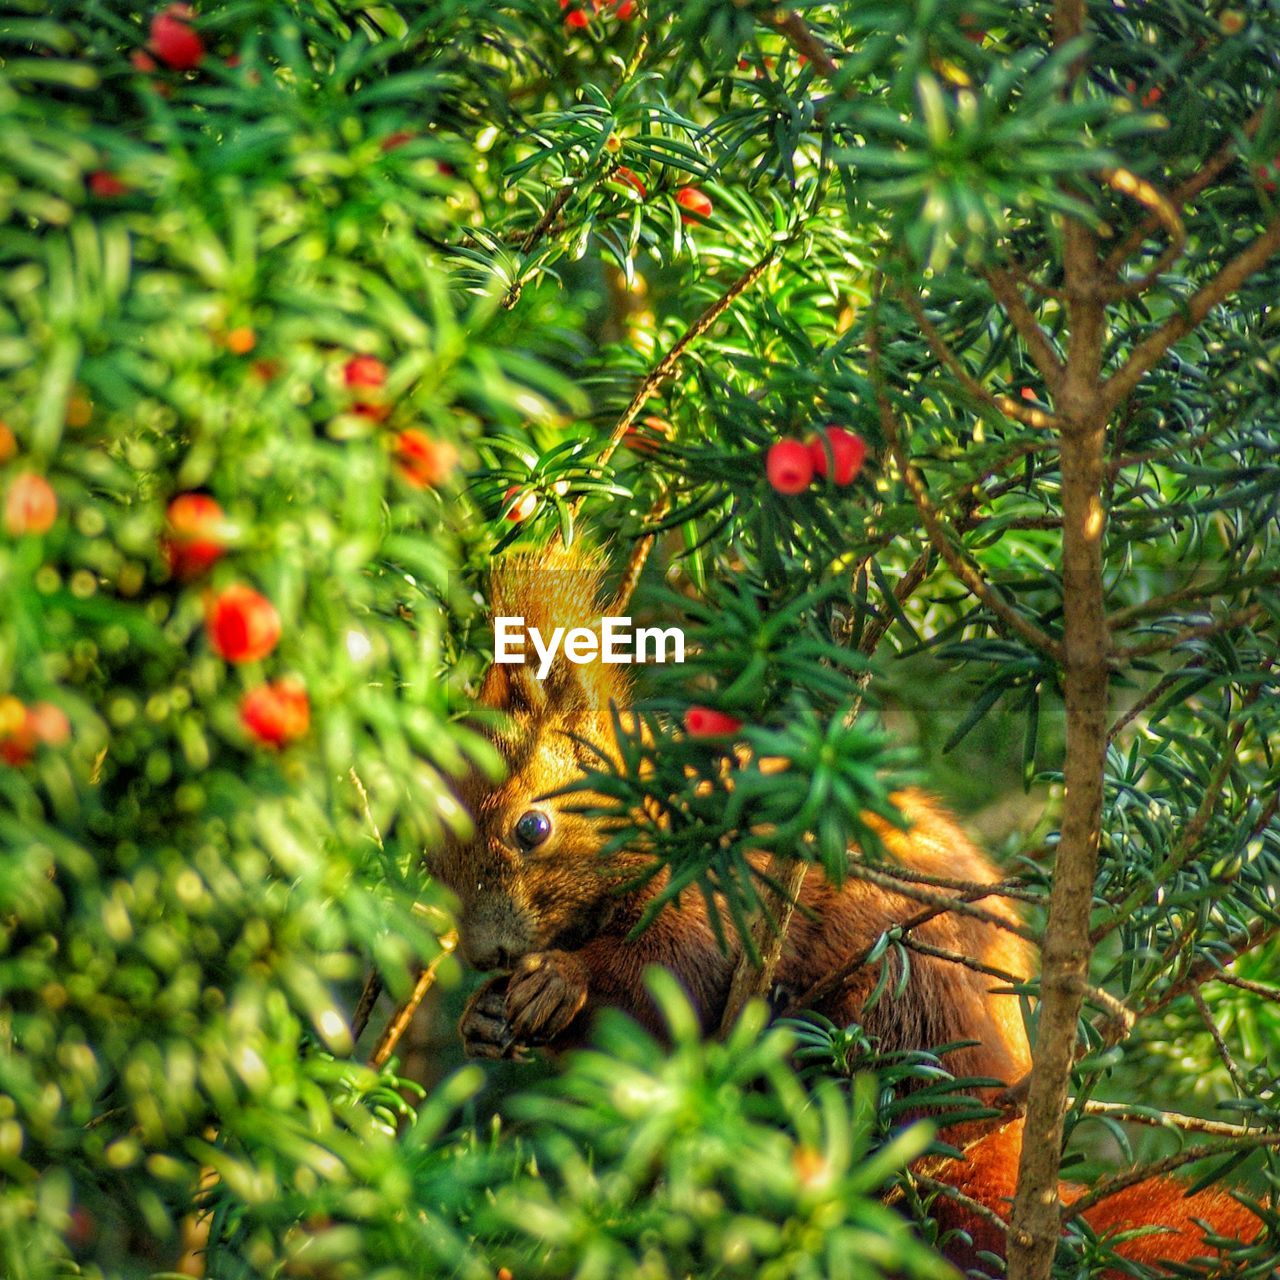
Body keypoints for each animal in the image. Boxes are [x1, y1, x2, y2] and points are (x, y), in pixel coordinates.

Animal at [435, 547, 1264, 1269]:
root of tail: (993, 1130)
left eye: (532, 829)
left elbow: (662, 983)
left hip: (898, 994)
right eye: (430, 859)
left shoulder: (722, 894)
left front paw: (559, 979)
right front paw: (483, 1015)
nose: (486, 955)